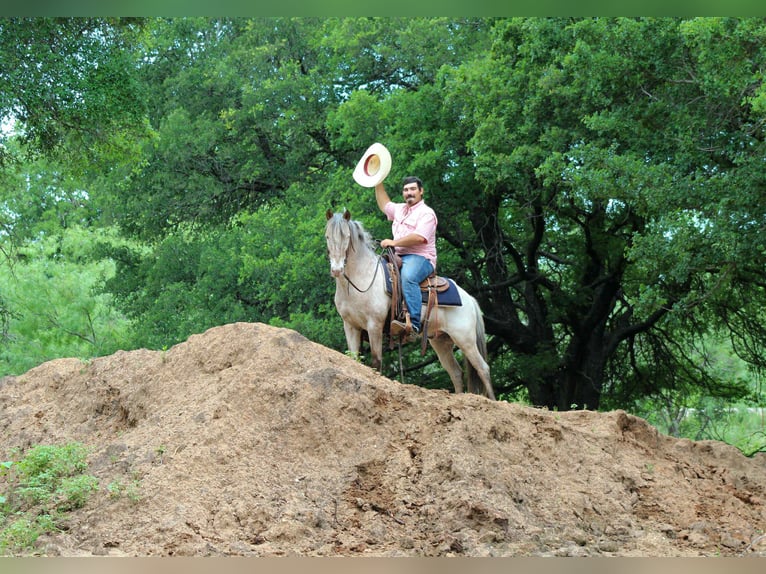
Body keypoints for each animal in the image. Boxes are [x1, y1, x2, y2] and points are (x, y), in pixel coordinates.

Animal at [324, 209, 495, 400]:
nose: (337, 269)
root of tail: (469, 299)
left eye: (346, 236)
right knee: (456, 372)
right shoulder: (350, 326)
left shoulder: (374, 325)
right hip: (441, 341)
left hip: (465, 339)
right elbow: (354, 359)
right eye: (327, 236)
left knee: (483, 368)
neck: (362, 278)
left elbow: (376, 362)